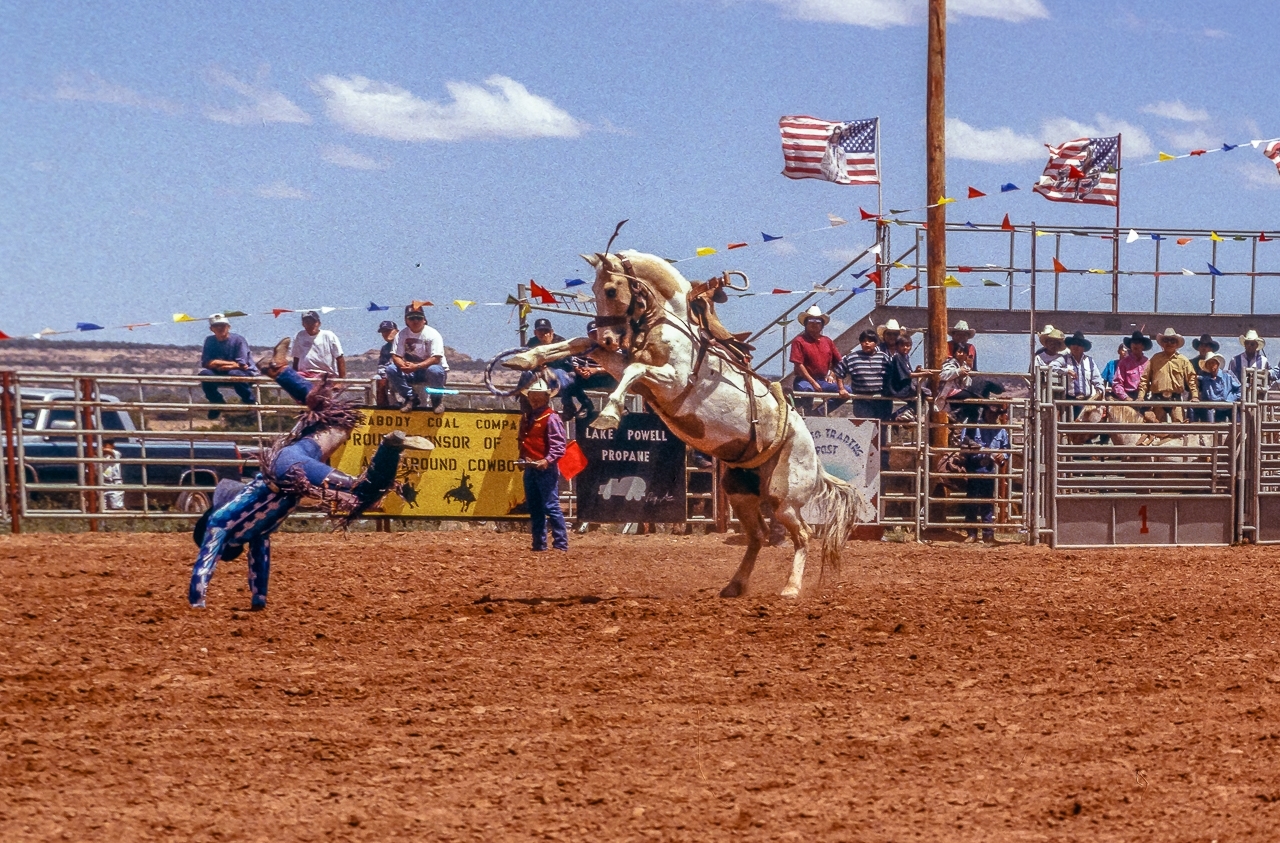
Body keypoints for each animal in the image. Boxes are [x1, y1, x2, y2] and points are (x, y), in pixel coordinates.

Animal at [504, 250, 865, 601]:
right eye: (593, 290)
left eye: (610, 290)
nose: (606, 337)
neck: (668, 325)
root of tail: (815, 461)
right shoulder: (627, 366)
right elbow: (583, 343)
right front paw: (524, 358)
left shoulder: (671, 379)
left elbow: (633, 368)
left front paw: (609, 414)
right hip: (739, 493)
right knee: (758, 536)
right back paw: (734, 586)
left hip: (783, 498)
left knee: (802, 535)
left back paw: (790, 588)